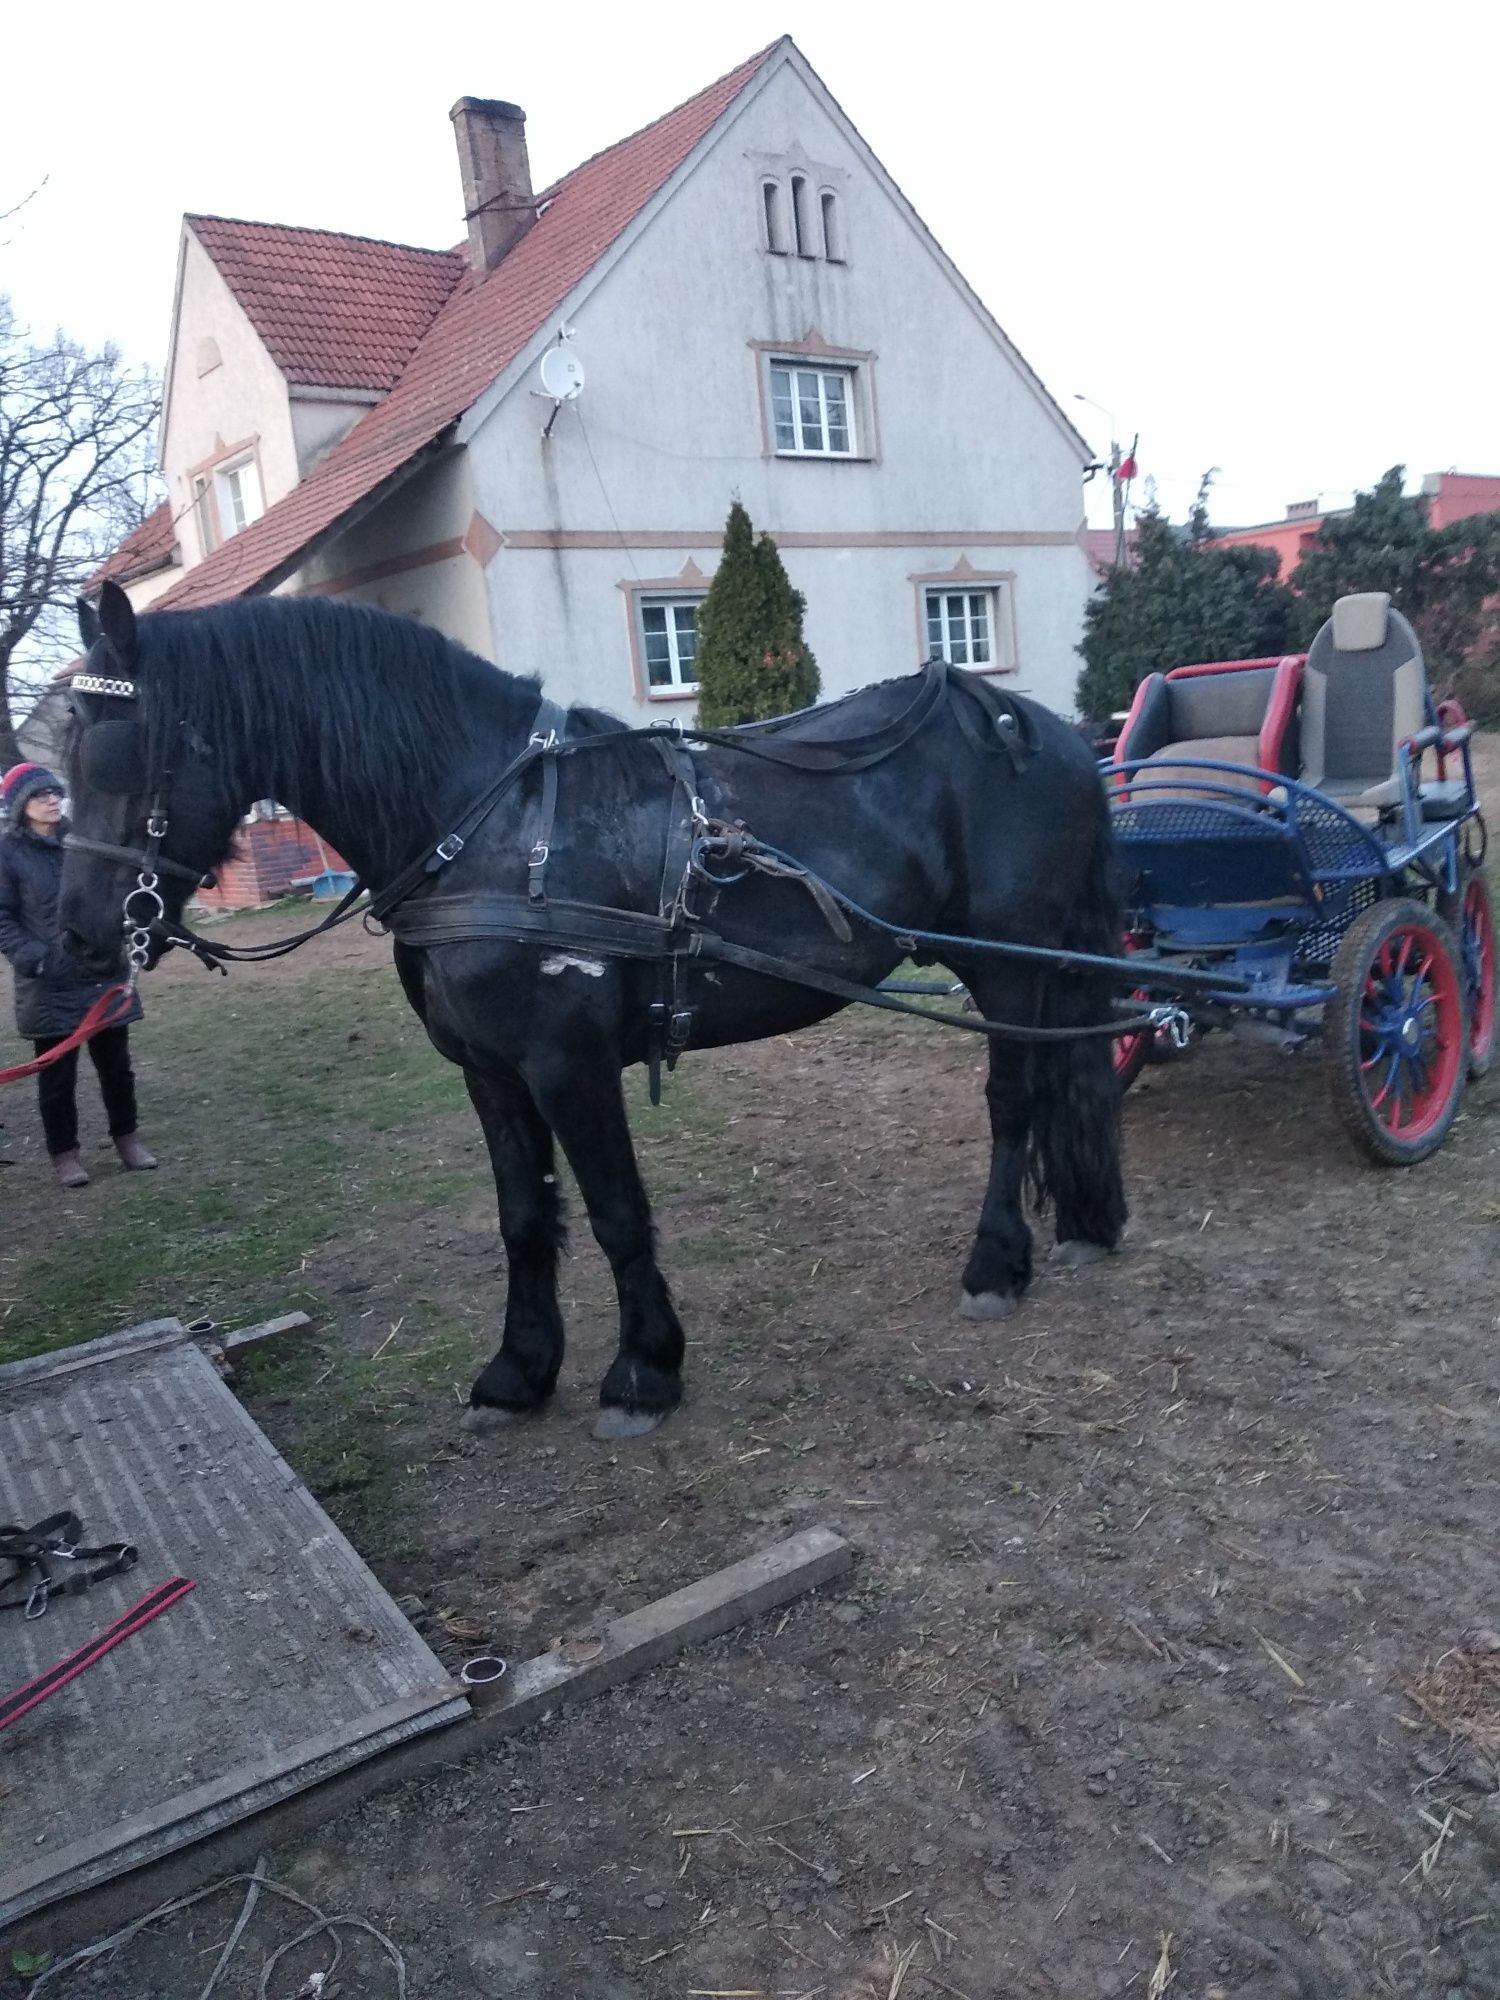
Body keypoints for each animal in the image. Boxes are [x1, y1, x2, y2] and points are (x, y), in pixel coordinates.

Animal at [58, 580, 1128, 1440]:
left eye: (124, 753)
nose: (79, 937)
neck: (488, 825)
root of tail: (1048, 731)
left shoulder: (567, 1064)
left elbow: (616, 1210)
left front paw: (644, 1370)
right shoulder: (489, 1073)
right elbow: (525, 1216)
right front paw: (518, 1372)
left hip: (1008, 965)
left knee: (1014, 1102)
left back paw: (995, 1264)